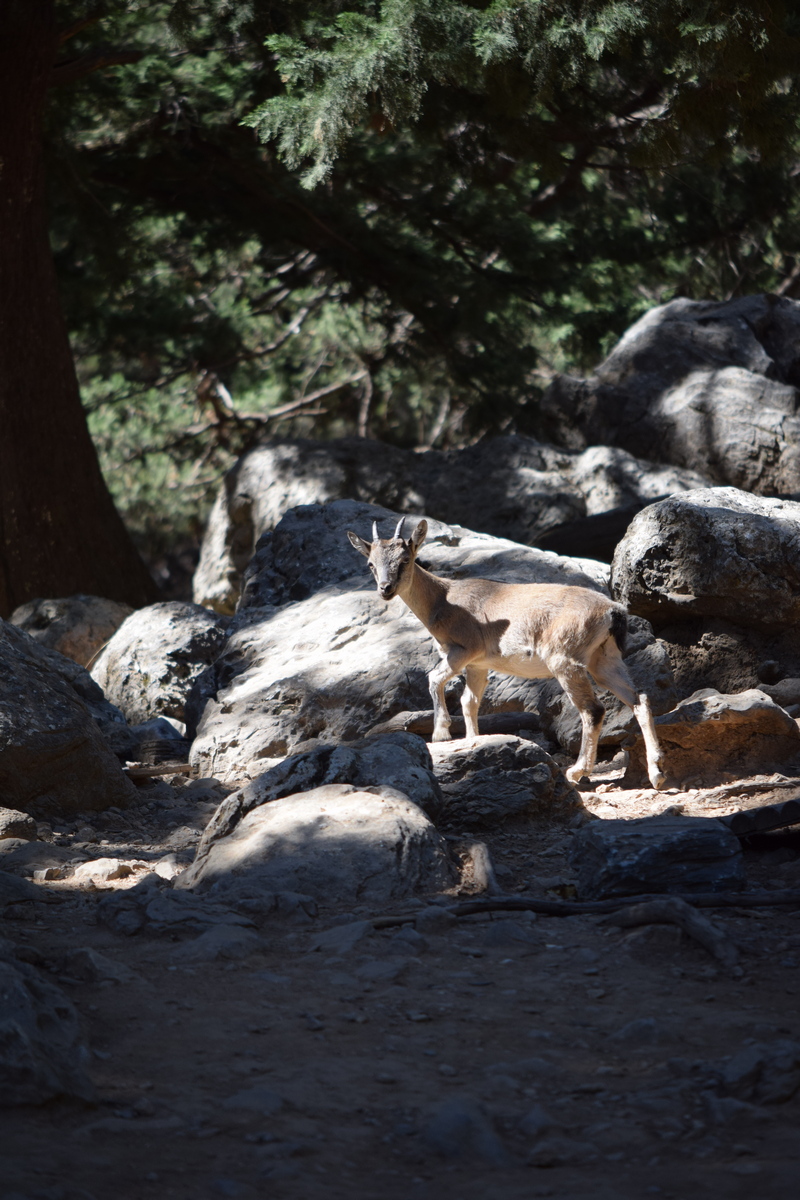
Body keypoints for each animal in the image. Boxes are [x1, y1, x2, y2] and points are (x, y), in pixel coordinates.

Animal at [347, 513, 666, 787]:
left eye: (405, 559)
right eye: (371, 564)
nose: (385, 589)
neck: (443, 601)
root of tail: (613, 611)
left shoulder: (463, 649)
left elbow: (434, 678)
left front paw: (440, 734)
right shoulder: (477, 664)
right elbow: (469, 702)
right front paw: (472, 742)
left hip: (565, 660)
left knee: (593, 710)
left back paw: (577, 772)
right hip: (604, 660)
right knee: (639, 699)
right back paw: (657, 773)